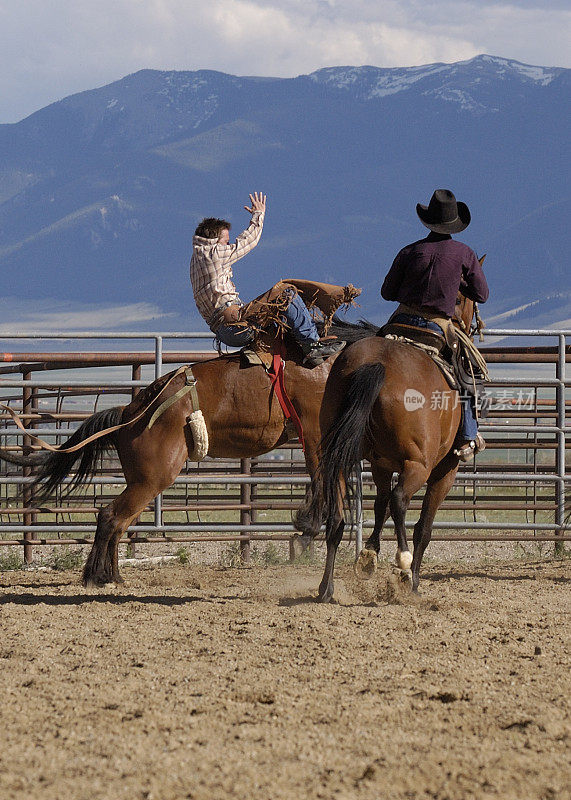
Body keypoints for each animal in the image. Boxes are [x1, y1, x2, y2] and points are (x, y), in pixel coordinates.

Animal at [6, 318, 378, 588]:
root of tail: (129, 412)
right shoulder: (315, 432)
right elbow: (321, 479)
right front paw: (307, 525)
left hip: (141, 480)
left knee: (117, 519)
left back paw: (114, 575)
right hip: (152, 479)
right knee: (110, 516)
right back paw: (98, 577)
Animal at [298, 296, 476, 604]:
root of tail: (377, 364)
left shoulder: (380, 464)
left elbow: (379, 505)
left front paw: (368, 555)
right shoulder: (445, 471)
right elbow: (423, 527)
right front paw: (413, 581)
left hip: (338, 455)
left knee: (337, 519)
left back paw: (326, 588)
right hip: (418, 465)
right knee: (400, 500)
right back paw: (403, 565)